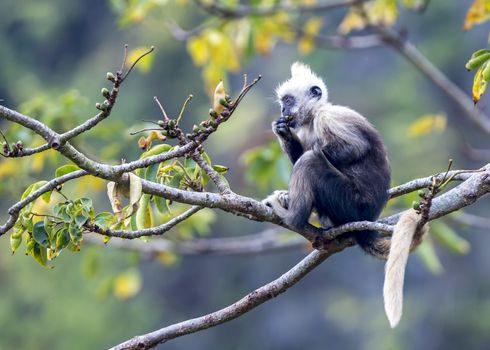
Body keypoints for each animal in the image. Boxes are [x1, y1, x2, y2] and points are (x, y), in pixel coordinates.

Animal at [262, 63, 426, 328]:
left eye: (288, 100)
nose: (283, 110)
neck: (313, 118)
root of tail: (368, 218)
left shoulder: (329, 118)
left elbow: (353, 149)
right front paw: (282, 132)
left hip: (349, 202)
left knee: (310, 160)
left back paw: (291, 217)